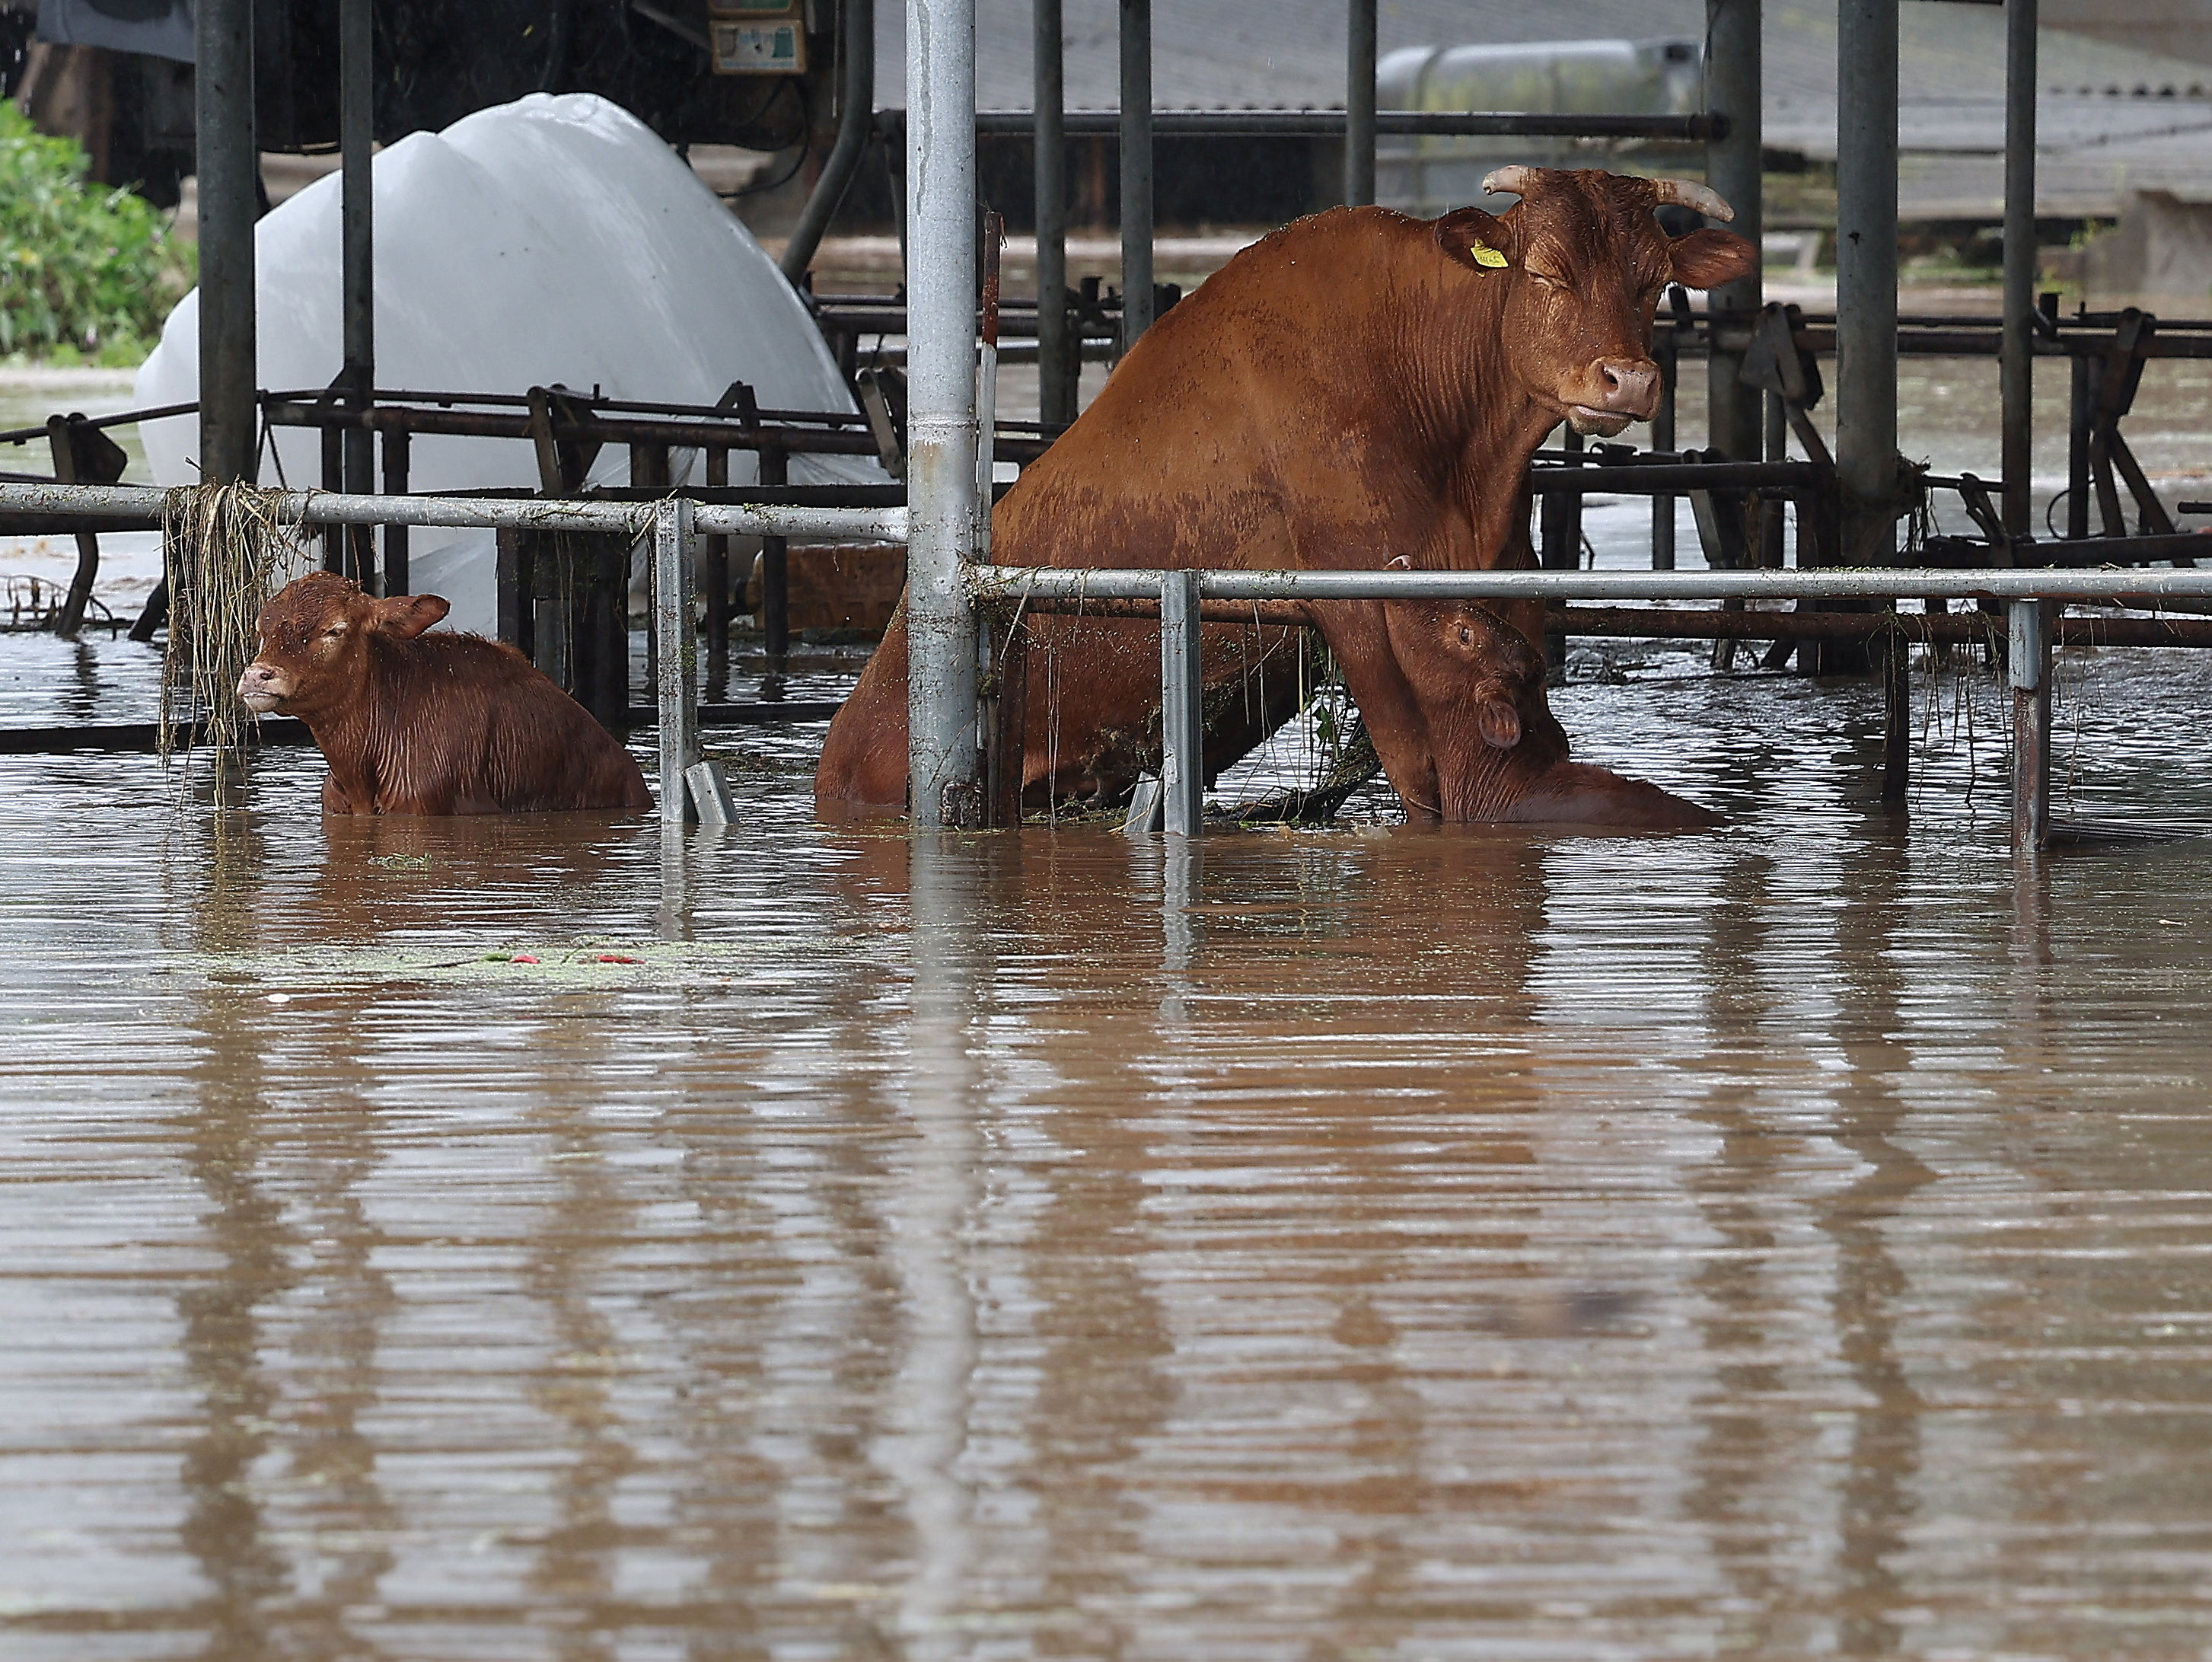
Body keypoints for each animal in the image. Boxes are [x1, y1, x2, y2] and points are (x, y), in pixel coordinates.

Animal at [818, 162, 1761, 828]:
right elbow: (1421, 780)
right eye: (1546, 272)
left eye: (1653, 280)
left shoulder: (1505, 581)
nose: (1628, 378)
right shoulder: (1352, 602)